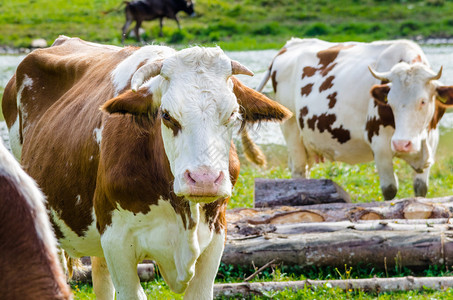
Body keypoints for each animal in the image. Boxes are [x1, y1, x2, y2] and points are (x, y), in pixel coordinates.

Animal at [254, 38, 452, 199]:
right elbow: (389, 189)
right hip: (291, 129)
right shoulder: (380, 145)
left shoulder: (431, 143)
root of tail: (289, 45)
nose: (401, 144)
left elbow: (420, 188)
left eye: (423, 101)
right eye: (390, 102)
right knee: (298, 171)